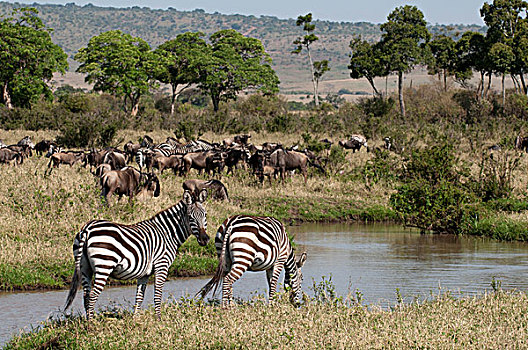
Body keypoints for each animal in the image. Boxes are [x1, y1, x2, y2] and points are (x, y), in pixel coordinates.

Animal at [67, 190, 211, 318]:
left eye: (205, 215)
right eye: (190, 217)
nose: (205, 239)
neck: (167, 234)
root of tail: (88, 228)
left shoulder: (144, 274)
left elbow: (139, 297)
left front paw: (135, 319)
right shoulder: (162, 265)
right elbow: (157, 295)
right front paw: (159, 319)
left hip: (85, 268)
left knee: (86, 297)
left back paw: (88, 322)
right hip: (104, 265)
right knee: (92, 297)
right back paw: (92, 325)